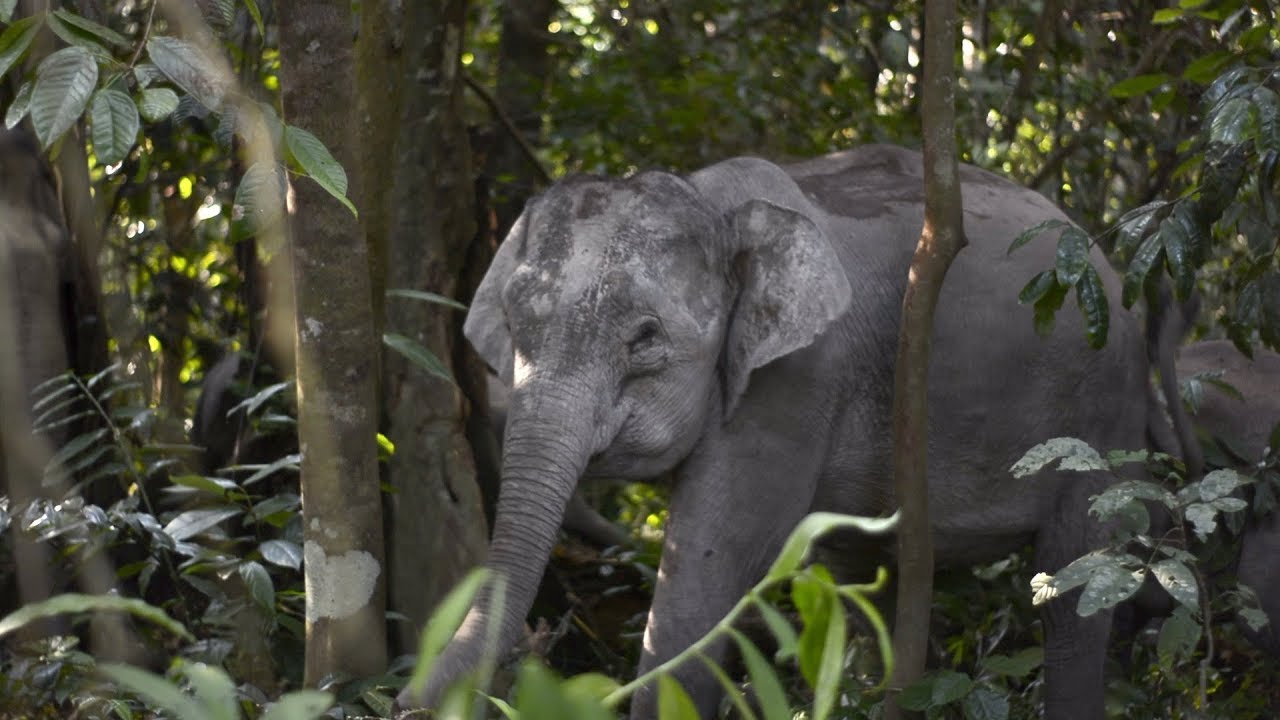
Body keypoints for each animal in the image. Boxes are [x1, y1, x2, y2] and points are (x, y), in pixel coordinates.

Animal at [396, 144, 1162, 719]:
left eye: (645, 340)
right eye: (516, 326)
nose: (402, 700)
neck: (709, 198)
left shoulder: (797, 378)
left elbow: (709, 564)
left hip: (1106, 413)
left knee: (1075, 589)